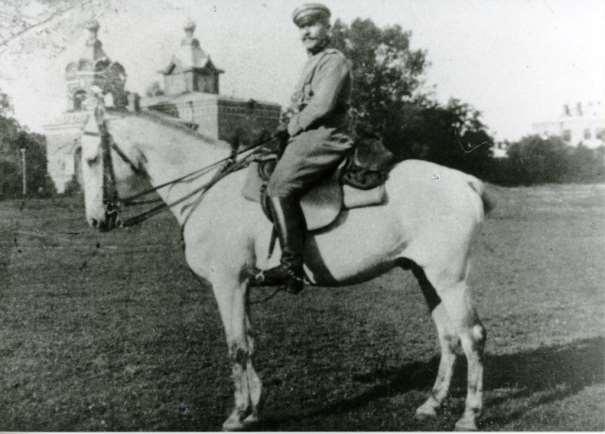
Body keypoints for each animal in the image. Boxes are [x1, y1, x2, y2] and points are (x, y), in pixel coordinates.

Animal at [79, 106, 490, 430]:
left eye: (90, 158)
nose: (97, 220)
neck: (208, 190)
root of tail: (465, 181)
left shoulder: (227, 283)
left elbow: (236, 346)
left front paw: (237, 414)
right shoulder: (242, 284)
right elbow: (249, 341)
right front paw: (254, 407)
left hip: (449, 278)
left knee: (472, 336)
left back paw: (469, 415)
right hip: (425, 275)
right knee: (448, 338)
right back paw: (431, 404)